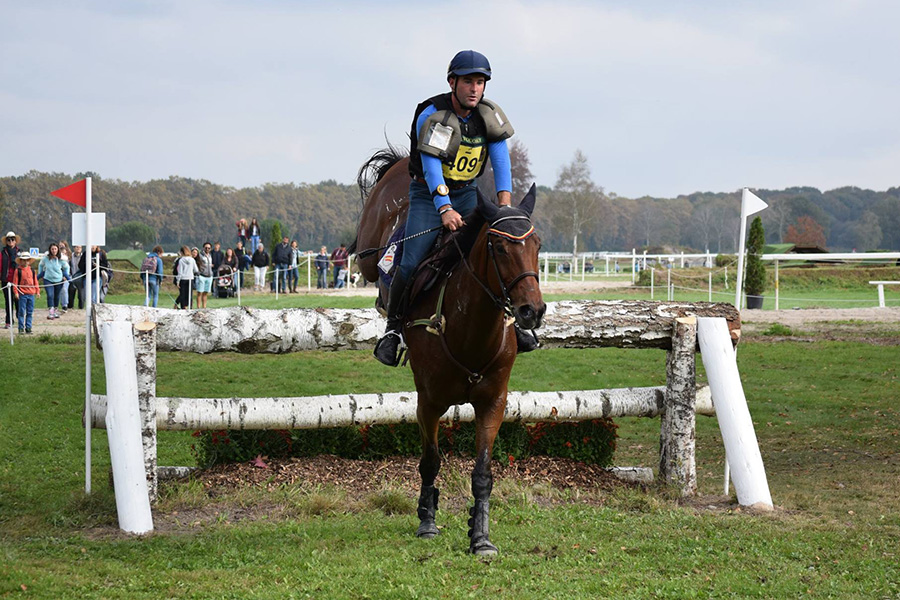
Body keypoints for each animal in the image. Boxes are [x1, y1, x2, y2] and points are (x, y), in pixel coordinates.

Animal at [356, 148, 544, 556]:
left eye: (537, 244)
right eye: (499, 246)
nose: (532, 311)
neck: (467, 331)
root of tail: (400, 162)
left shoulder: (493, 402)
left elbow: (483, 473)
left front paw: (480, 535)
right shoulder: (428, 402)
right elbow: (430, 462)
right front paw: (427, 520)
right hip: (368, 249)